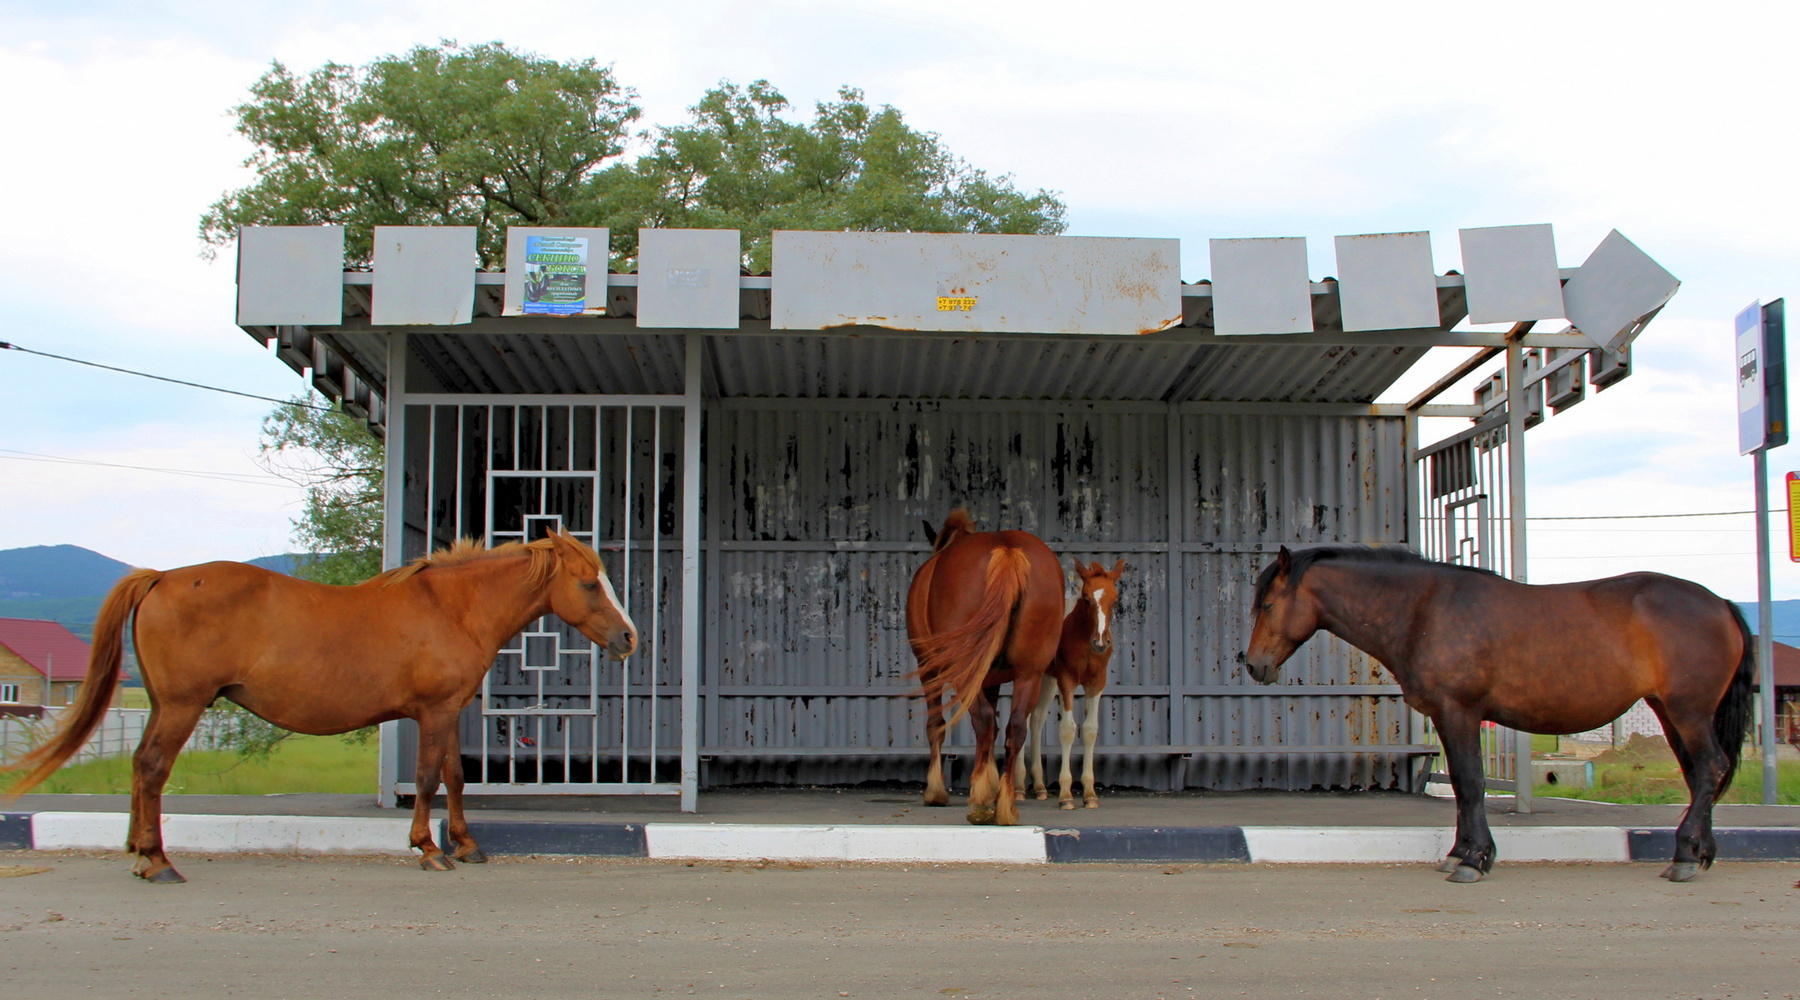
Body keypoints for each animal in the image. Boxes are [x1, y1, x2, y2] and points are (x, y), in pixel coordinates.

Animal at [3, 530, 636, 883]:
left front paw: (467, 844)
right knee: (155, 769)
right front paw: (429, 849)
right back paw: (158, 862)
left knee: (139, 767)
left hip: (165, 705)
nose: (629, 638)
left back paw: (139, 851)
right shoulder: (432, 712)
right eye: (588, 584)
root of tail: (160, 577)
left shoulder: (449, 711)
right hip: (183, 705)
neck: (451, 607)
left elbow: (455, 776)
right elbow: (428, 778)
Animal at [907, 509, 1064, 825]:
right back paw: (1005, 806)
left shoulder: (928, 670)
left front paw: (935, 792)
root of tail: (1006, 550)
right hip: (1030, 672)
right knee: (1013, 727)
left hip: (963, 671)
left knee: (982, 719)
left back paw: (979, 803)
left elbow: (936, 725)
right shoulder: (992, 678)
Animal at [1026, 559, 1125, 809]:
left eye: (1115, 599)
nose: (1101, 641)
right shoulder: (1067, 679)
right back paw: (1019, 788)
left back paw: (1039, 786)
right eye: (1087, 598)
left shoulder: (1097, 682)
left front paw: (1089, 793)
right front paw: (1066, 794)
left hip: (1047, 680)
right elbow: (1068, 729)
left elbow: (1090, 729)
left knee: (1036, 719)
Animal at [1245, 545, 1754, 884]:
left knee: (1711, 766)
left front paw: (1473, 860)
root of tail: (1721, 604)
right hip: (1670, 711)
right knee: (1699, 773)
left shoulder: (1460, 712)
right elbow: (1463, 786)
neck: (1423, 609)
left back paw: (1685, 856)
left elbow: (1471, 784)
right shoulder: (1447, 717)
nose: (1253, 665)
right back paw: (1698, 852)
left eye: (1267, 604)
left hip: (1688, 711)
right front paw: (1461, 853)